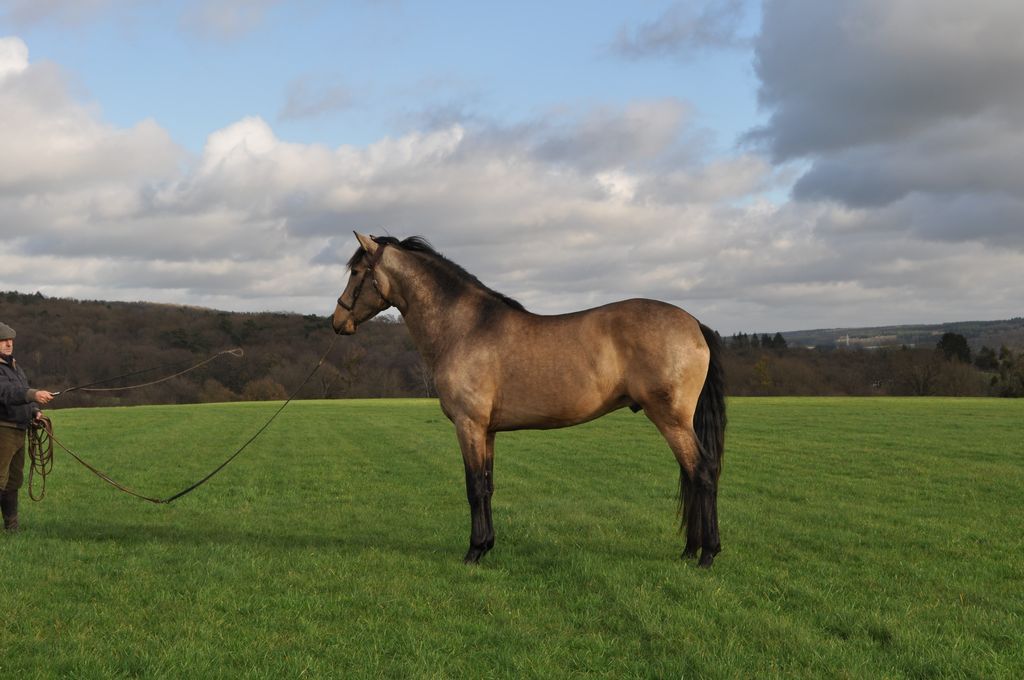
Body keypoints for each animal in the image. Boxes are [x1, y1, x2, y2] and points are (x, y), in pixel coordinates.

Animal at [331, 233, 724, 569]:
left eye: (356, 272)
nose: (337, 321)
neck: (463, 328)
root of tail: (695, 324)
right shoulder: (487, 431)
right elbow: (488, 486)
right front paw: (487, 545)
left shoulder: (469, 426)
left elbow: (473, 487)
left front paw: (473, 552)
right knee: (693, 475)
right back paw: (690, 550)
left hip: (671, 419)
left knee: (702, 472)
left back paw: (707, 554)